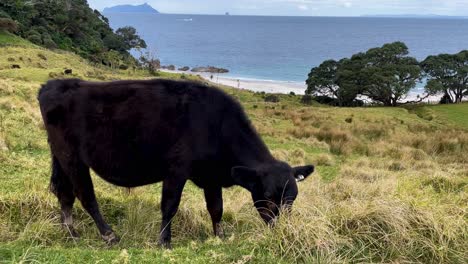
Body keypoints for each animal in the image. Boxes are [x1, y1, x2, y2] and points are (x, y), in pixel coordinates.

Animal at [37, 78, 314, 248]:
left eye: (292, 197)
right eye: (266, 195)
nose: (281, 228)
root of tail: (54, 85)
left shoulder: (211, 177)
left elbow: (216, 208)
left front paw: (220, 236)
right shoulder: (176, 170)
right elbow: (170, 206)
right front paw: (164, 242)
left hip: (60, 157)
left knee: (64, 193)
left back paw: (71, 232)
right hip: (72, 157)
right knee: (85, 194)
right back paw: (109, 235)